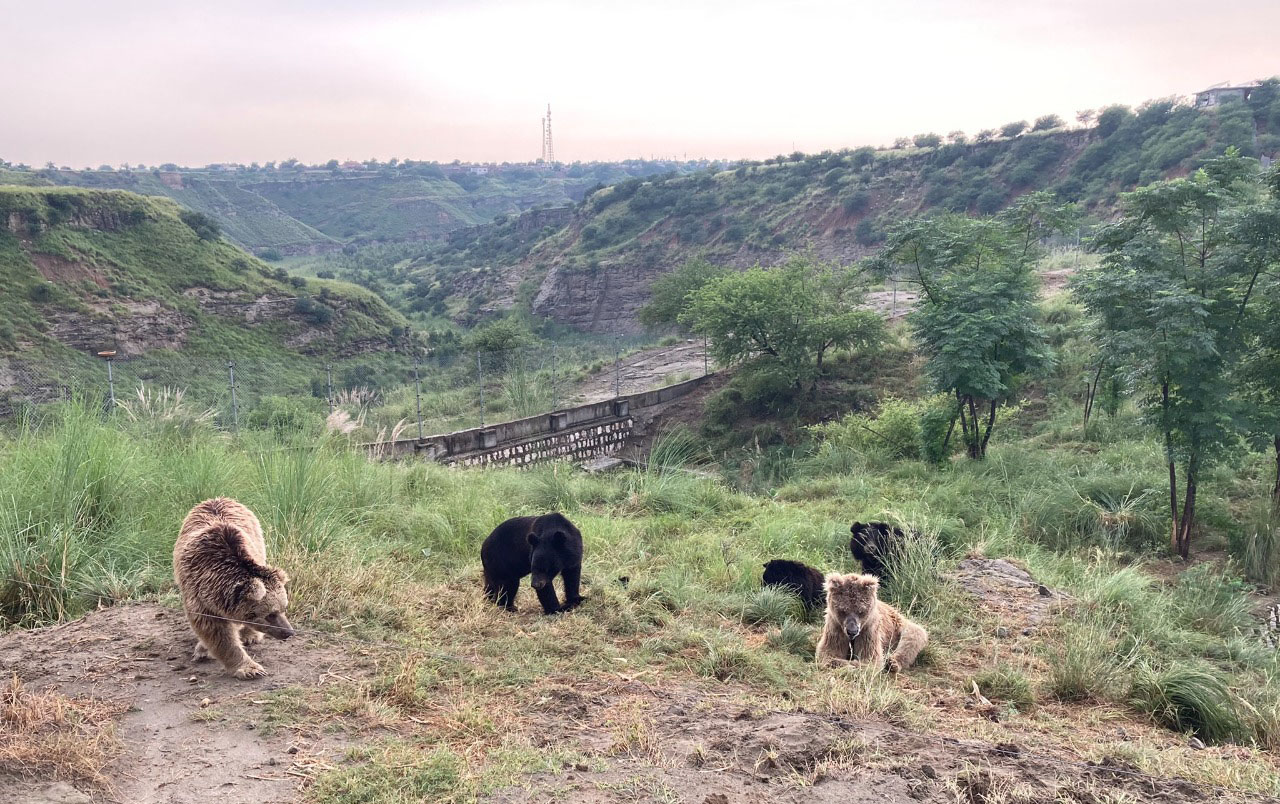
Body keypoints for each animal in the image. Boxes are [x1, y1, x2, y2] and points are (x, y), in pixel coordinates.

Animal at [174, 496, 295, 675]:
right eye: (271, 614)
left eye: (284, 608)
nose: (288, 632)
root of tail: (218, 498)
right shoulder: (197, 593)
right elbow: (217, 633)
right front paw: (250, 668)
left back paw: (250, 635)